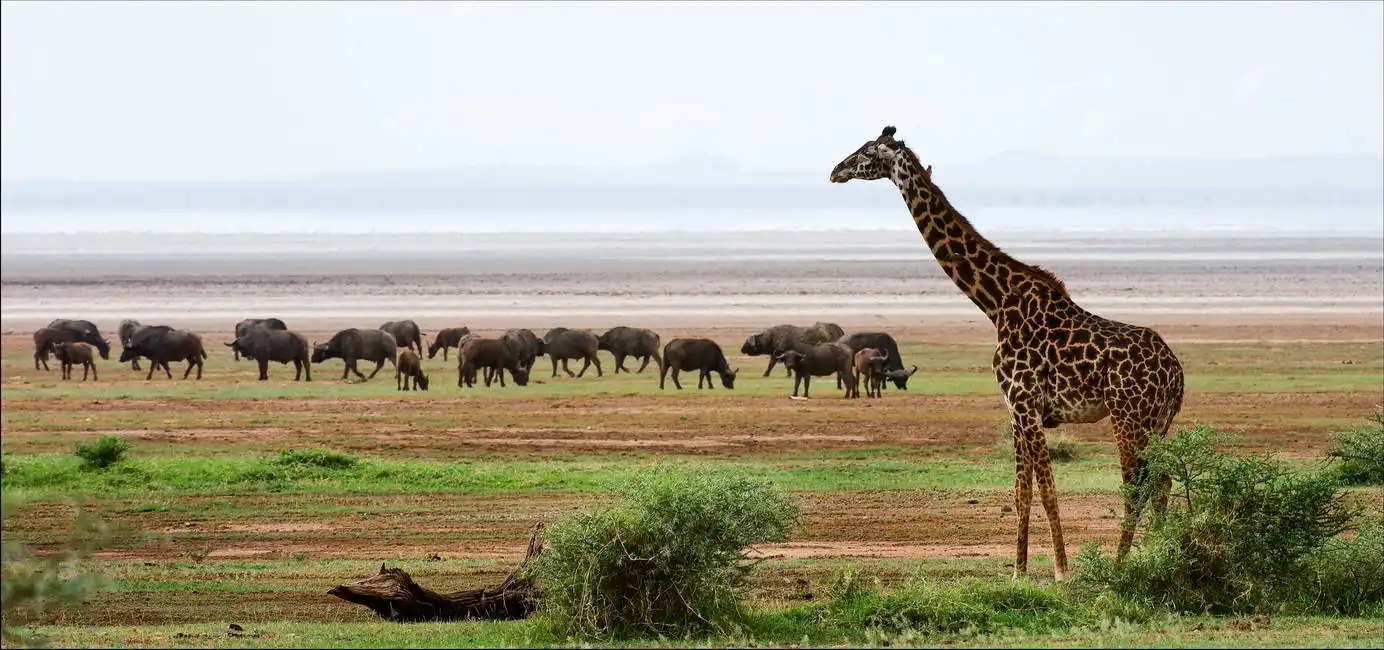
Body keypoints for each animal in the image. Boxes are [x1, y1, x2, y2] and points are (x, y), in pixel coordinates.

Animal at [829, 126, 1185, 582]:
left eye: (867, 152)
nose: (835, 171)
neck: (995, 302)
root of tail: (1177, 374)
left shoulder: (1026, 403)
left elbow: (1047, 489)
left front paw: (1061, 571)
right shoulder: (1014, 409)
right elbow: (1022, 492)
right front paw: (1019, 572)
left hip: (1128, 415)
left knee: (1136, 484)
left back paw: (1121, 566)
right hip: (1159, 421)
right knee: (1161, 482)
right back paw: (1163, 553)